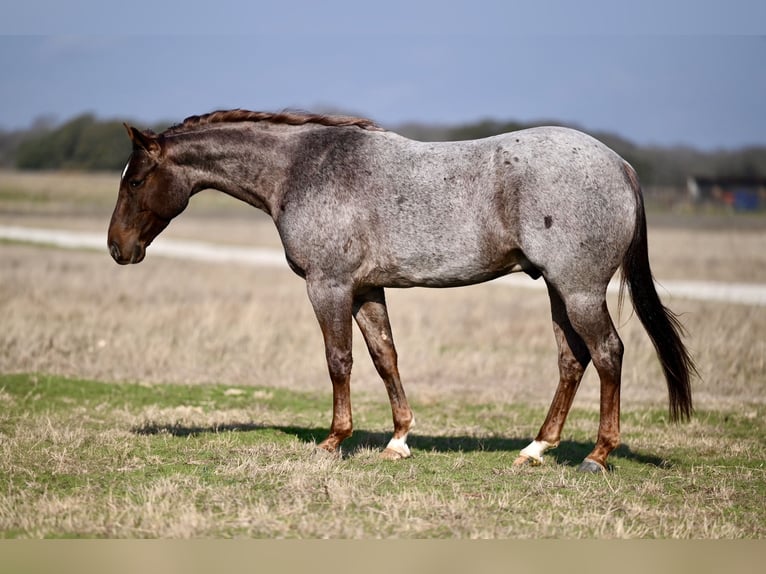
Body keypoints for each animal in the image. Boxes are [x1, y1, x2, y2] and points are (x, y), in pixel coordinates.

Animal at [108, 108, 696, 472]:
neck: (303, 169)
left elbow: (339, 361)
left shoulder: (329, 286)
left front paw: (333, 441)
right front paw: (398, 440)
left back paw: (597, 455)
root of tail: (619, 165)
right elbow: (385, 357)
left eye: (134, 181)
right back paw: (535, 449)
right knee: (573, 360)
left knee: (608, 353)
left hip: (579, 290)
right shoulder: (368, 289)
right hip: (557, 290)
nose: (117, 248)